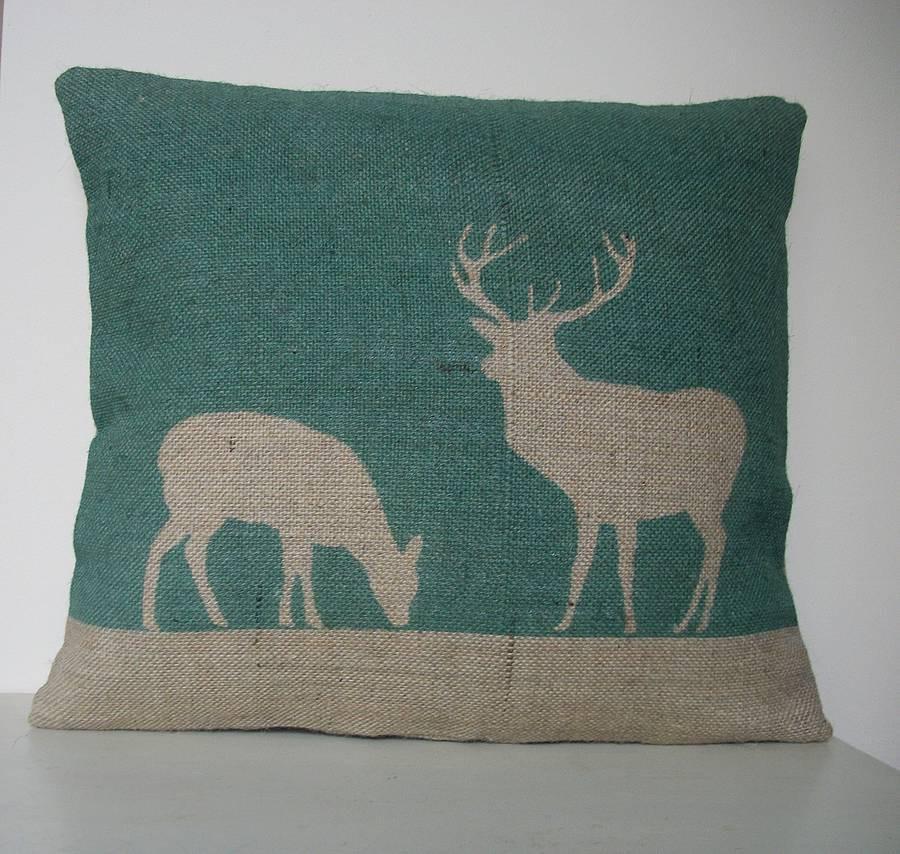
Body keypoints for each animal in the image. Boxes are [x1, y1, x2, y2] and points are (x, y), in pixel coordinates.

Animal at [142, 411, 422, 632]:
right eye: (387, 586)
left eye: (414, 588)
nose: (402, 621)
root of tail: (164, 453)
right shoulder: (294, 526)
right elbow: (295, 569)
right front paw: (297, 619)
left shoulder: (300, 532)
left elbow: (300, 569)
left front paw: (299, 618)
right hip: (197, 507)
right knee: (171, 546)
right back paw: (159, 620)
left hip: (200, 513)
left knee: (181, 548)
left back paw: (200, 618)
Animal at [451, 224, 746, 634]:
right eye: (502, 338)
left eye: (538, 344)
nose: (487, 366)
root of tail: (740, 419)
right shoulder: (595, 506)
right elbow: (591, 564)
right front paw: (572, 623)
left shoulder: (618, 501)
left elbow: (615, 566)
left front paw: (623, 625)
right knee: (713, 543)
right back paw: (686, 622)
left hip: (709, 492)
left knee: (718, 542)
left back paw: (697, 621)